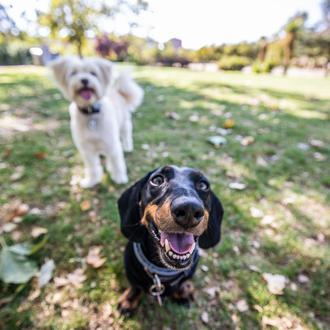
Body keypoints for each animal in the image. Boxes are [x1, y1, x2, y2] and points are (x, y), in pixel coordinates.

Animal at [49, 55, 142, 187]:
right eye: (73, 73)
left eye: (93, 73)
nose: (84, 80)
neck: (90, 113)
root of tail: (117, 90)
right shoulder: (87, 149)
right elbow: (92, 167)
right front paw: (91, 181)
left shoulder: (112, 144)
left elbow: (117, 162)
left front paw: (119, 178)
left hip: (124, 124)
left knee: (126, 136)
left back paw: (127, 147)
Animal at [117, 165, 223, 314]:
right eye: (157, 180)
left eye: (203, 185)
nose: (189, 209)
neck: (162, 272)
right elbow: (135, 287)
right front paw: (129, 301)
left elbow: (182, 283)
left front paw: (182, 292)